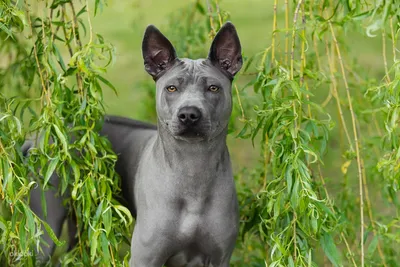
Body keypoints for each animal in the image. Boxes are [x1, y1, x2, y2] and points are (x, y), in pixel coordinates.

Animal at [28, 21, 242, 267]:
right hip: (45, 233)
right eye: (171, 88)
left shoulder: (219, 258)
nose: (189, 114)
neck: (193, 169)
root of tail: (37, 139)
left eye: (213, 88)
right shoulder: (145, 257)